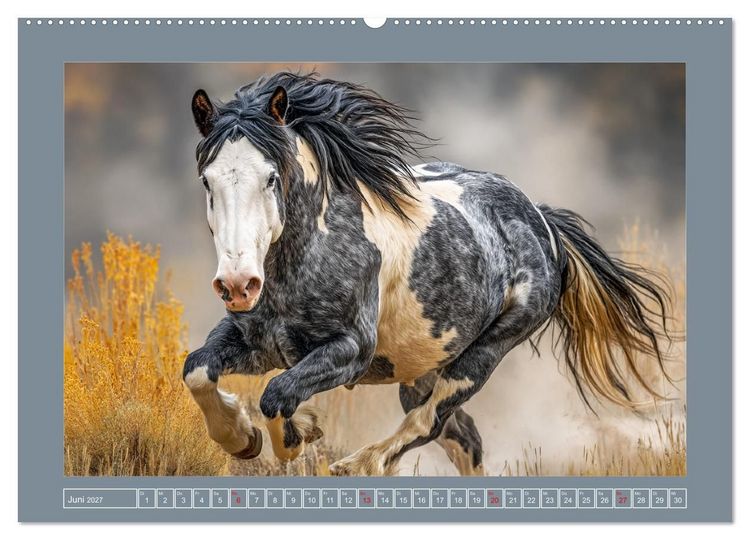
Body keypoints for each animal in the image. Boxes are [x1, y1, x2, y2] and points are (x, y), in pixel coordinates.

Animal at [182, 72, 671, 476]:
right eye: (207, 180)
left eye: (270, 177)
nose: (238, 285)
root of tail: (541, 220)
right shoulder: (257, 342)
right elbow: (198, 370)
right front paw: (241, 438)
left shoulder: (351, 350)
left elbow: (276, 395)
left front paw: (296, 436)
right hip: (421, 370)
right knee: (463, 438)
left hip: (482, 356)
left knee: (428, 422)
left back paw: (359, 465)